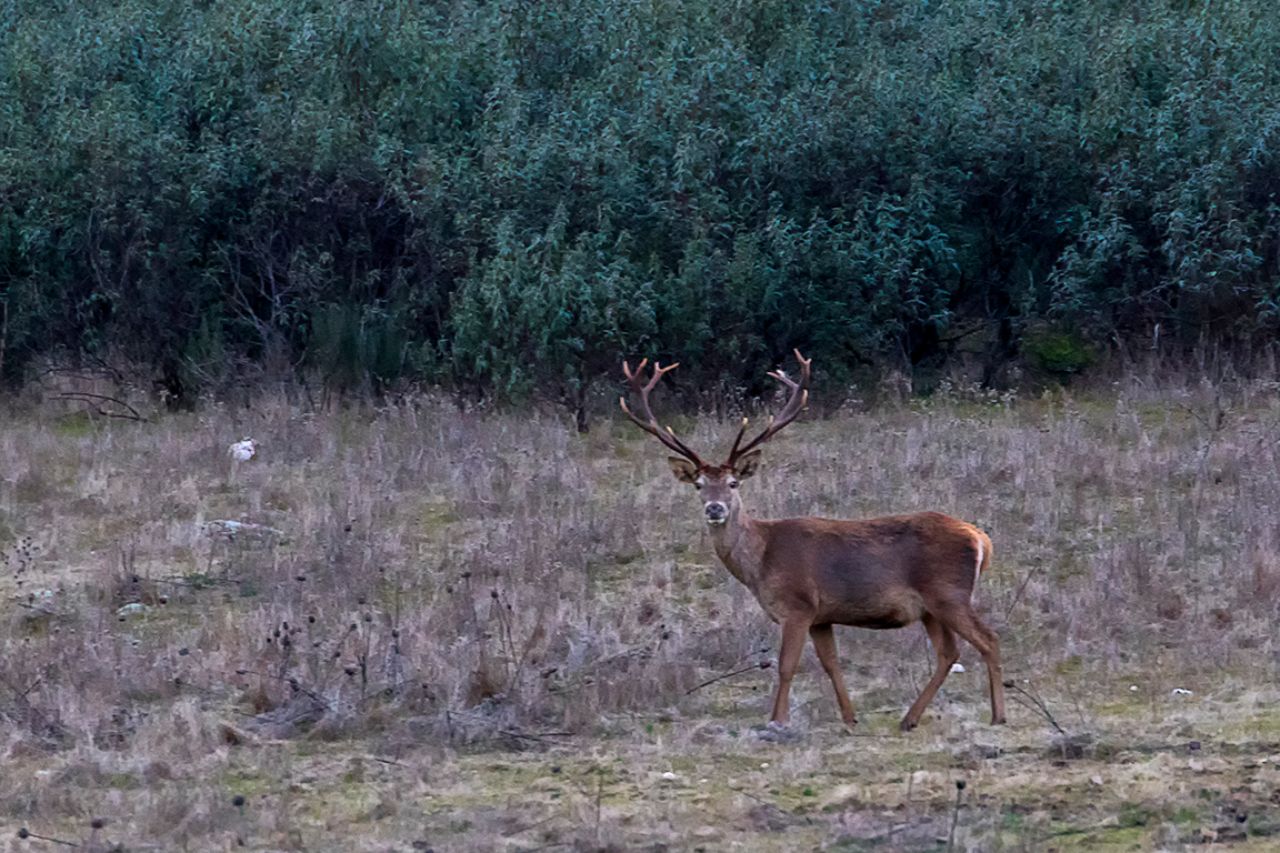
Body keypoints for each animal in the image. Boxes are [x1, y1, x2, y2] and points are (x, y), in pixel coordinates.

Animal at [620, 350, 1006, 732]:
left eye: (733, 483)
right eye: (698, 485)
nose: (715, 508)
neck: (761, 562)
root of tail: (980, 538)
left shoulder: (798, 605)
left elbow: (786, 666)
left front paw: (776, 721)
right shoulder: (822, 616)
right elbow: (831, 664)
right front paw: (849, 718)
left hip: (948, 592)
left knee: (989, 639)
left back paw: (997, 715)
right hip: (930, 607)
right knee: (949, 652)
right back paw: (909, 718)